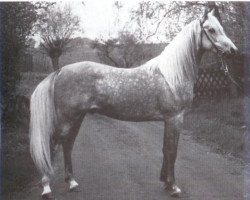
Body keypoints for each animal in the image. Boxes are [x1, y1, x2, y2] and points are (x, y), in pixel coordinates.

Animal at [29, 8, 236, 199]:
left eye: (221, 28)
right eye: (211, 30)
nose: (233, 51)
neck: (171, 76)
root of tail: (59, 72)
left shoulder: (168, 120)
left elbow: (165, 150)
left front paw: (165, 182)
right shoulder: (175, 118)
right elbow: (172, 152)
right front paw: (173, 187)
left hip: (77, 118)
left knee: (67, 145)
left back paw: (72, 182)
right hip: (67, 119)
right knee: (53, 144)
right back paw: (46, 187)